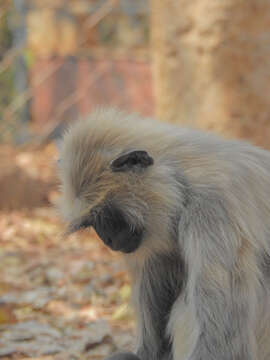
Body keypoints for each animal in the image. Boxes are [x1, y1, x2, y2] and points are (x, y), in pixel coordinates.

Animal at [58, 107, 270, 360]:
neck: (183, 183)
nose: (107, 239)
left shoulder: (213, 210)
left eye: (105, 217)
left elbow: (224, 340)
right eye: (93, 224)